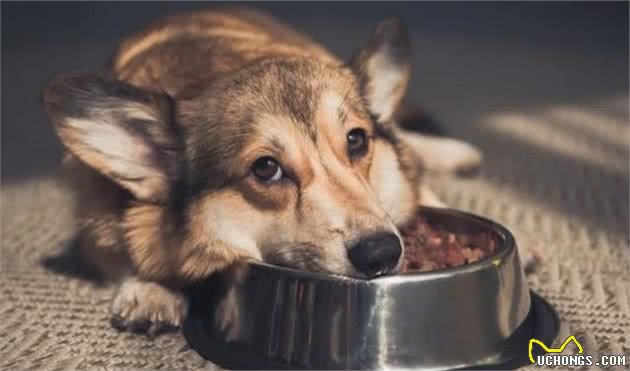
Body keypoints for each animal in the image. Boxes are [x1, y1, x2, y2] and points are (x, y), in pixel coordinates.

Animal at [43, 7, 484, 336]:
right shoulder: (94, 219)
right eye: (266, 168)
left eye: (357, 140)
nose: (382, 253)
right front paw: (149, 290)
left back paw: (453, 152)